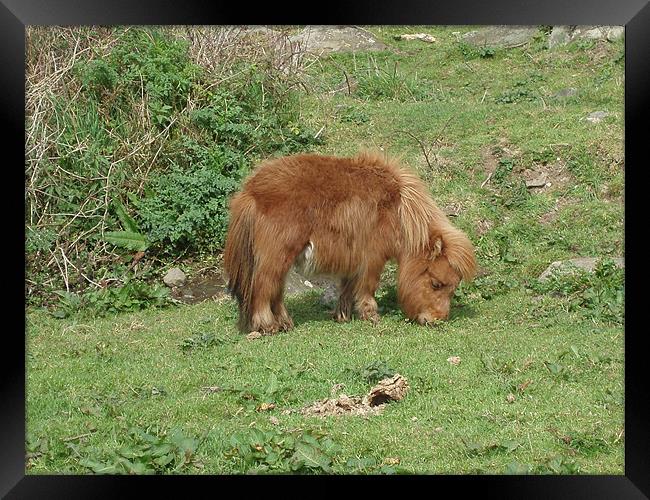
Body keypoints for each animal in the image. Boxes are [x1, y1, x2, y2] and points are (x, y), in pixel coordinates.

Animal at [223, 150, 476, 334]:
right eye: (436, 284)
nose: (435, 321)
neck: (397, 211)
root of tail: (250, 191)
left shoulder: (354, 259)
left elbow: (347, 287)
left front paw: (342, 316)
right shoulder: (373, 258)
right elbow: (367, 286)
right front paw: (371, 315)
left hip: (282, 260)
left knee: (275, 291)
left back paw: (285, 323)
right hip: (276, 257)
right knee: (263, 288)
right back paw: (268, 326)